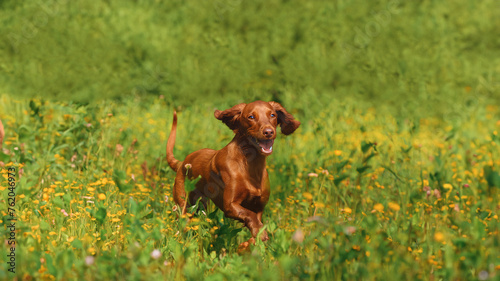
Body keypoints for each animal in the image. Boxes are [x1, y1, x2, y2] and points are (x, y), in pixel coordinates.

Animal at [168, 101, 300, 243]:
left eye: (272, 115)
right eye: (251, 117)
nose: (269, 132)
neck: (250, 165)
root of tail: (182, 163)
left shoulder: (259, 207)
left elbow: (255, 221)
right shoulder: (230, 205)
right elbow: (249, 215)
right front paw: (260, 233)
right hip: (184, 207)